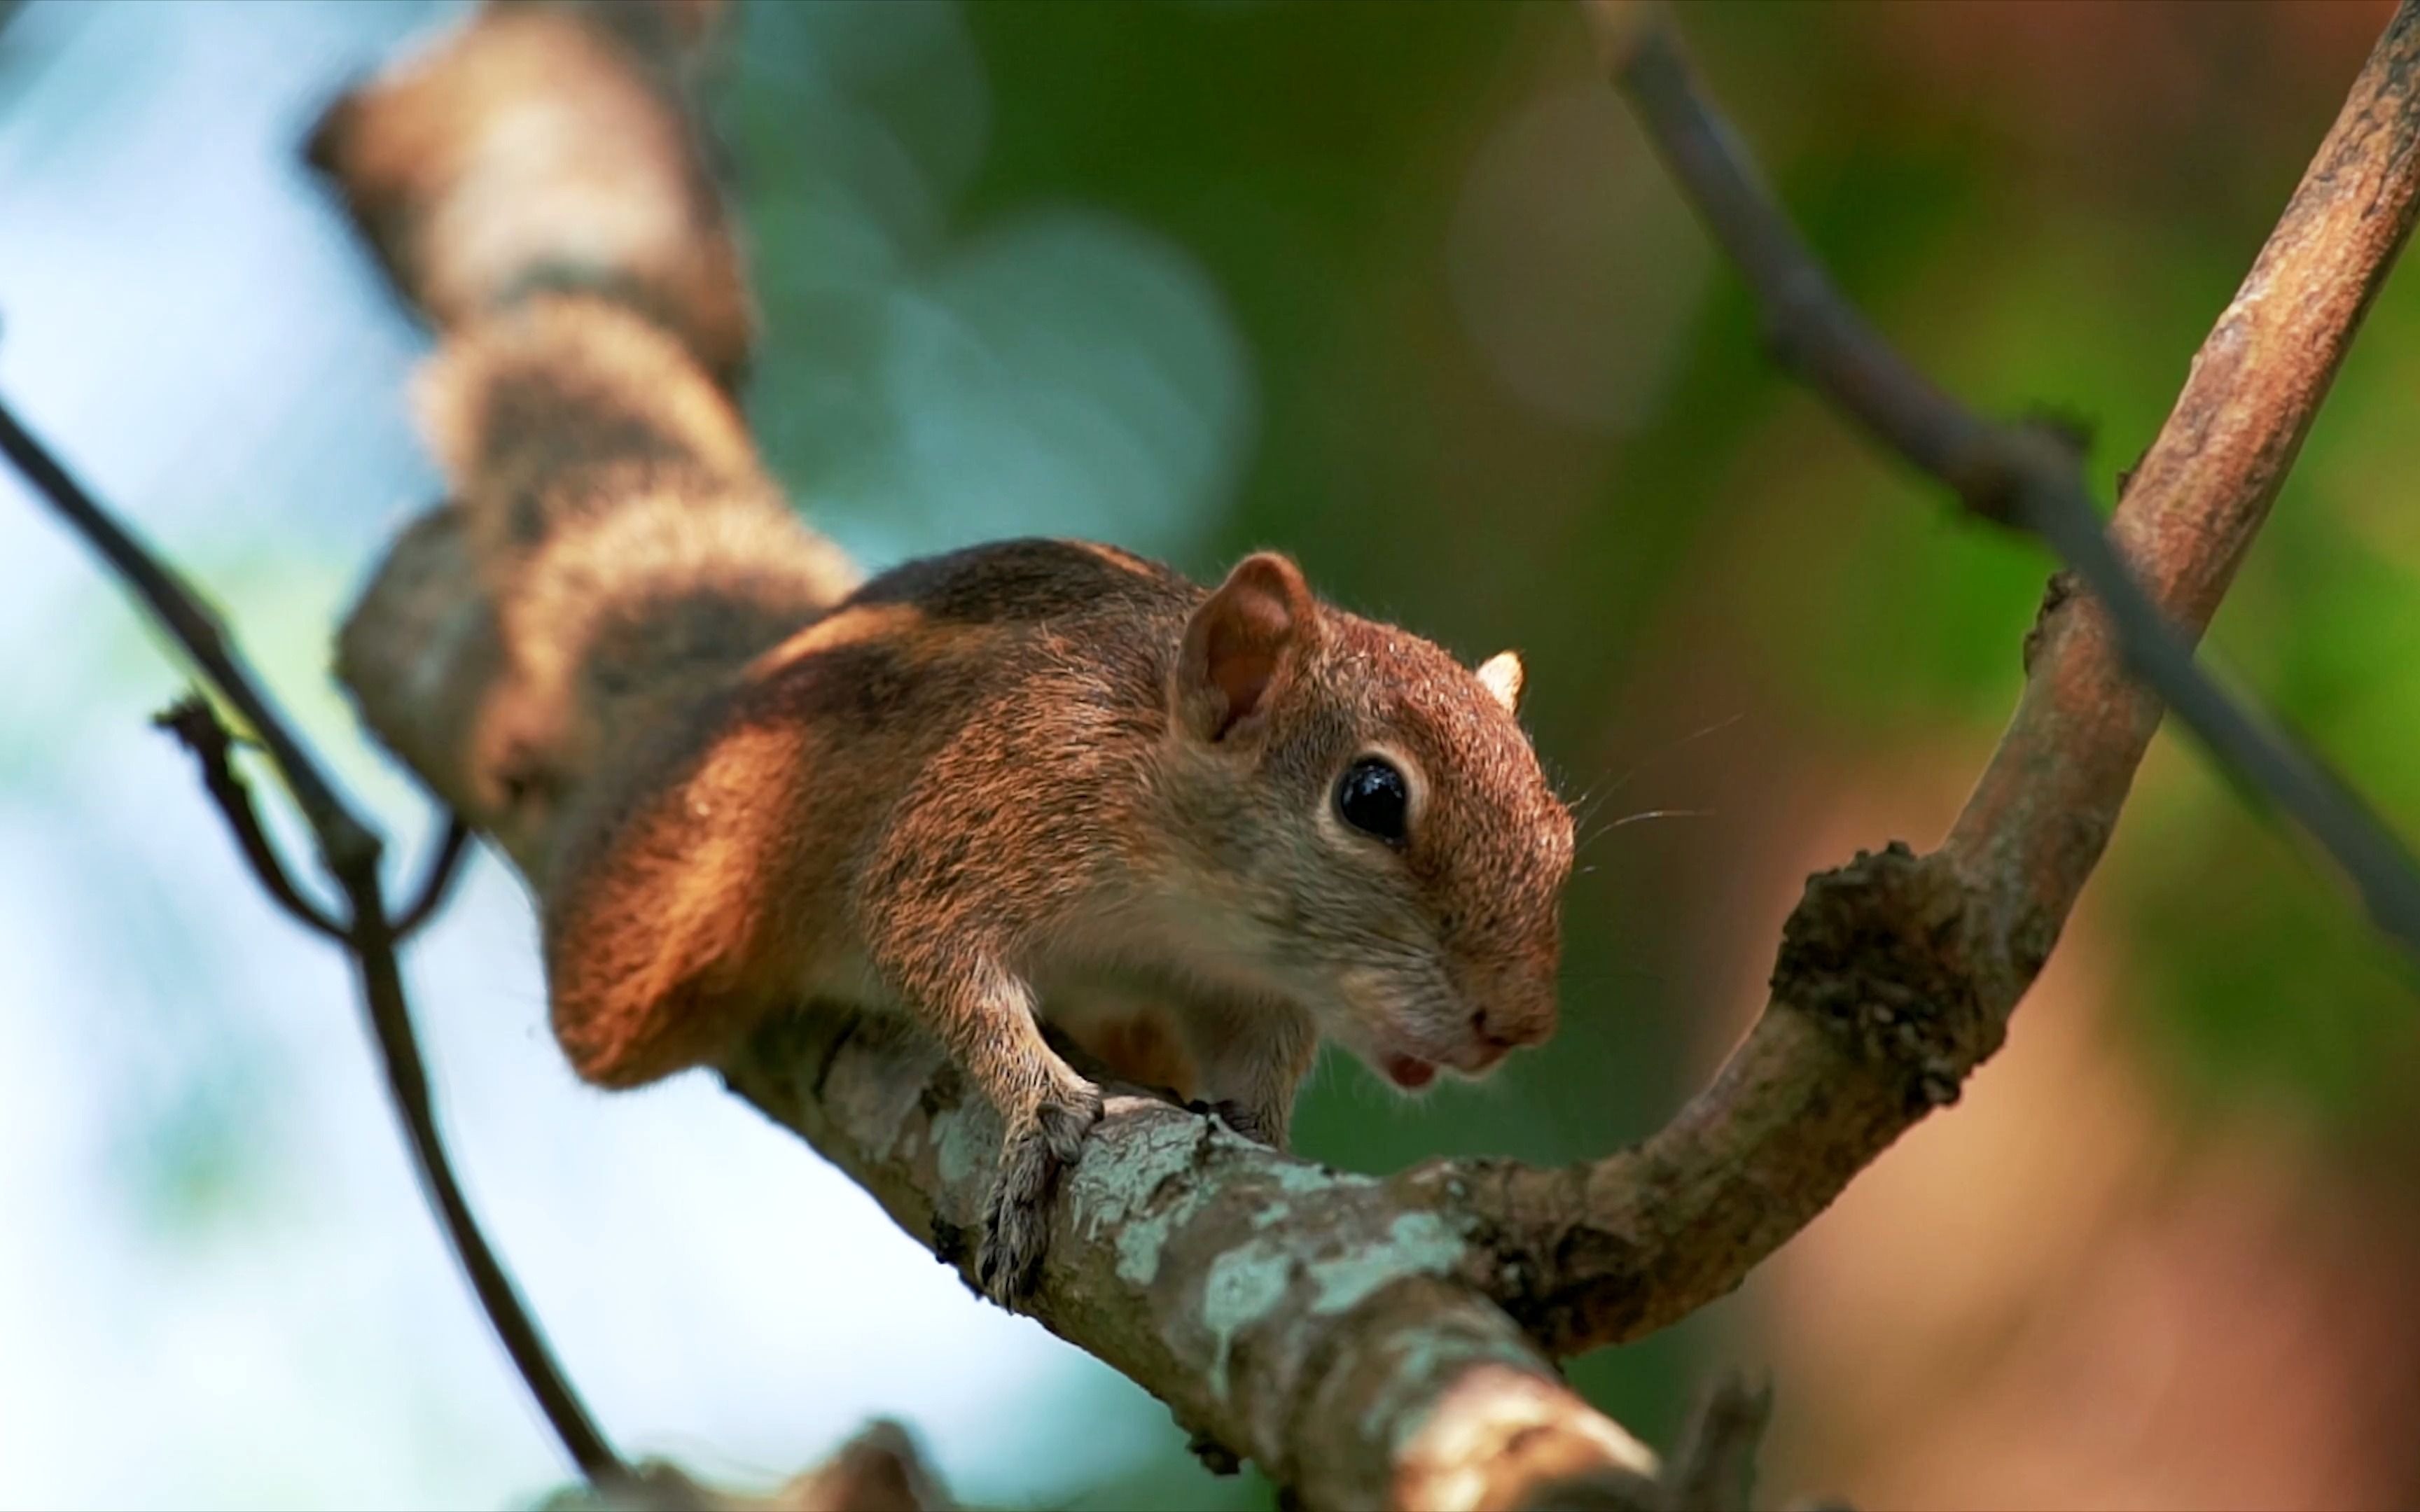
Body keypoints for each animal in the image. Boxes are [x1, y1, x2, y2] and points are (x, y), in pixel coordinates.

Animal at [312, 0, 1578, 1296]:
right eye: (1373, 798)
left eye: (1561, 832)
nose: (1516, 1023)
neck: (1180, 886)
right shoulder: (988, 810)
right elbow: (930, 952)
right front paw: (1039, 1109)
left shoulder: (1246, 983)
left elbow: (1262, 1057)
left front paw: (1257, 1128)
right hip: (653, 930)